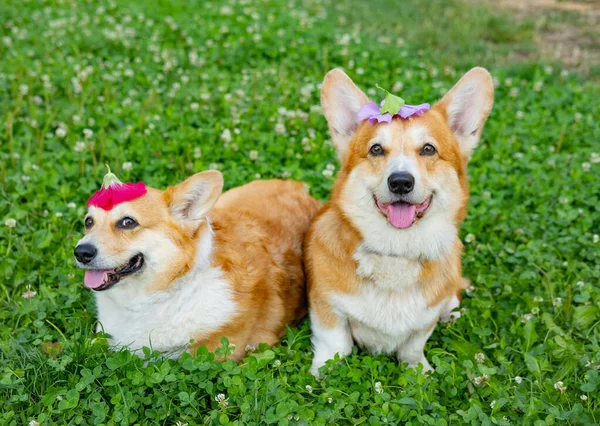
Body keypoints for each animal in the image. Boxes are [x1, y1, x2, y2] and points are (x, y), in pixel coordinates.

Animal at [308, 67, 494, 376]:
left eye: (429, 149)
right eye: (376, 149)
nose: (400, 182)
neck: (396, 251)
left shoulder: (424, 320)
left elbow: (414, 344)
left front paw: (418, 369)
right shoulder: (326, 306)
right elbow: (335, 343)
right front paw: (323, 371)